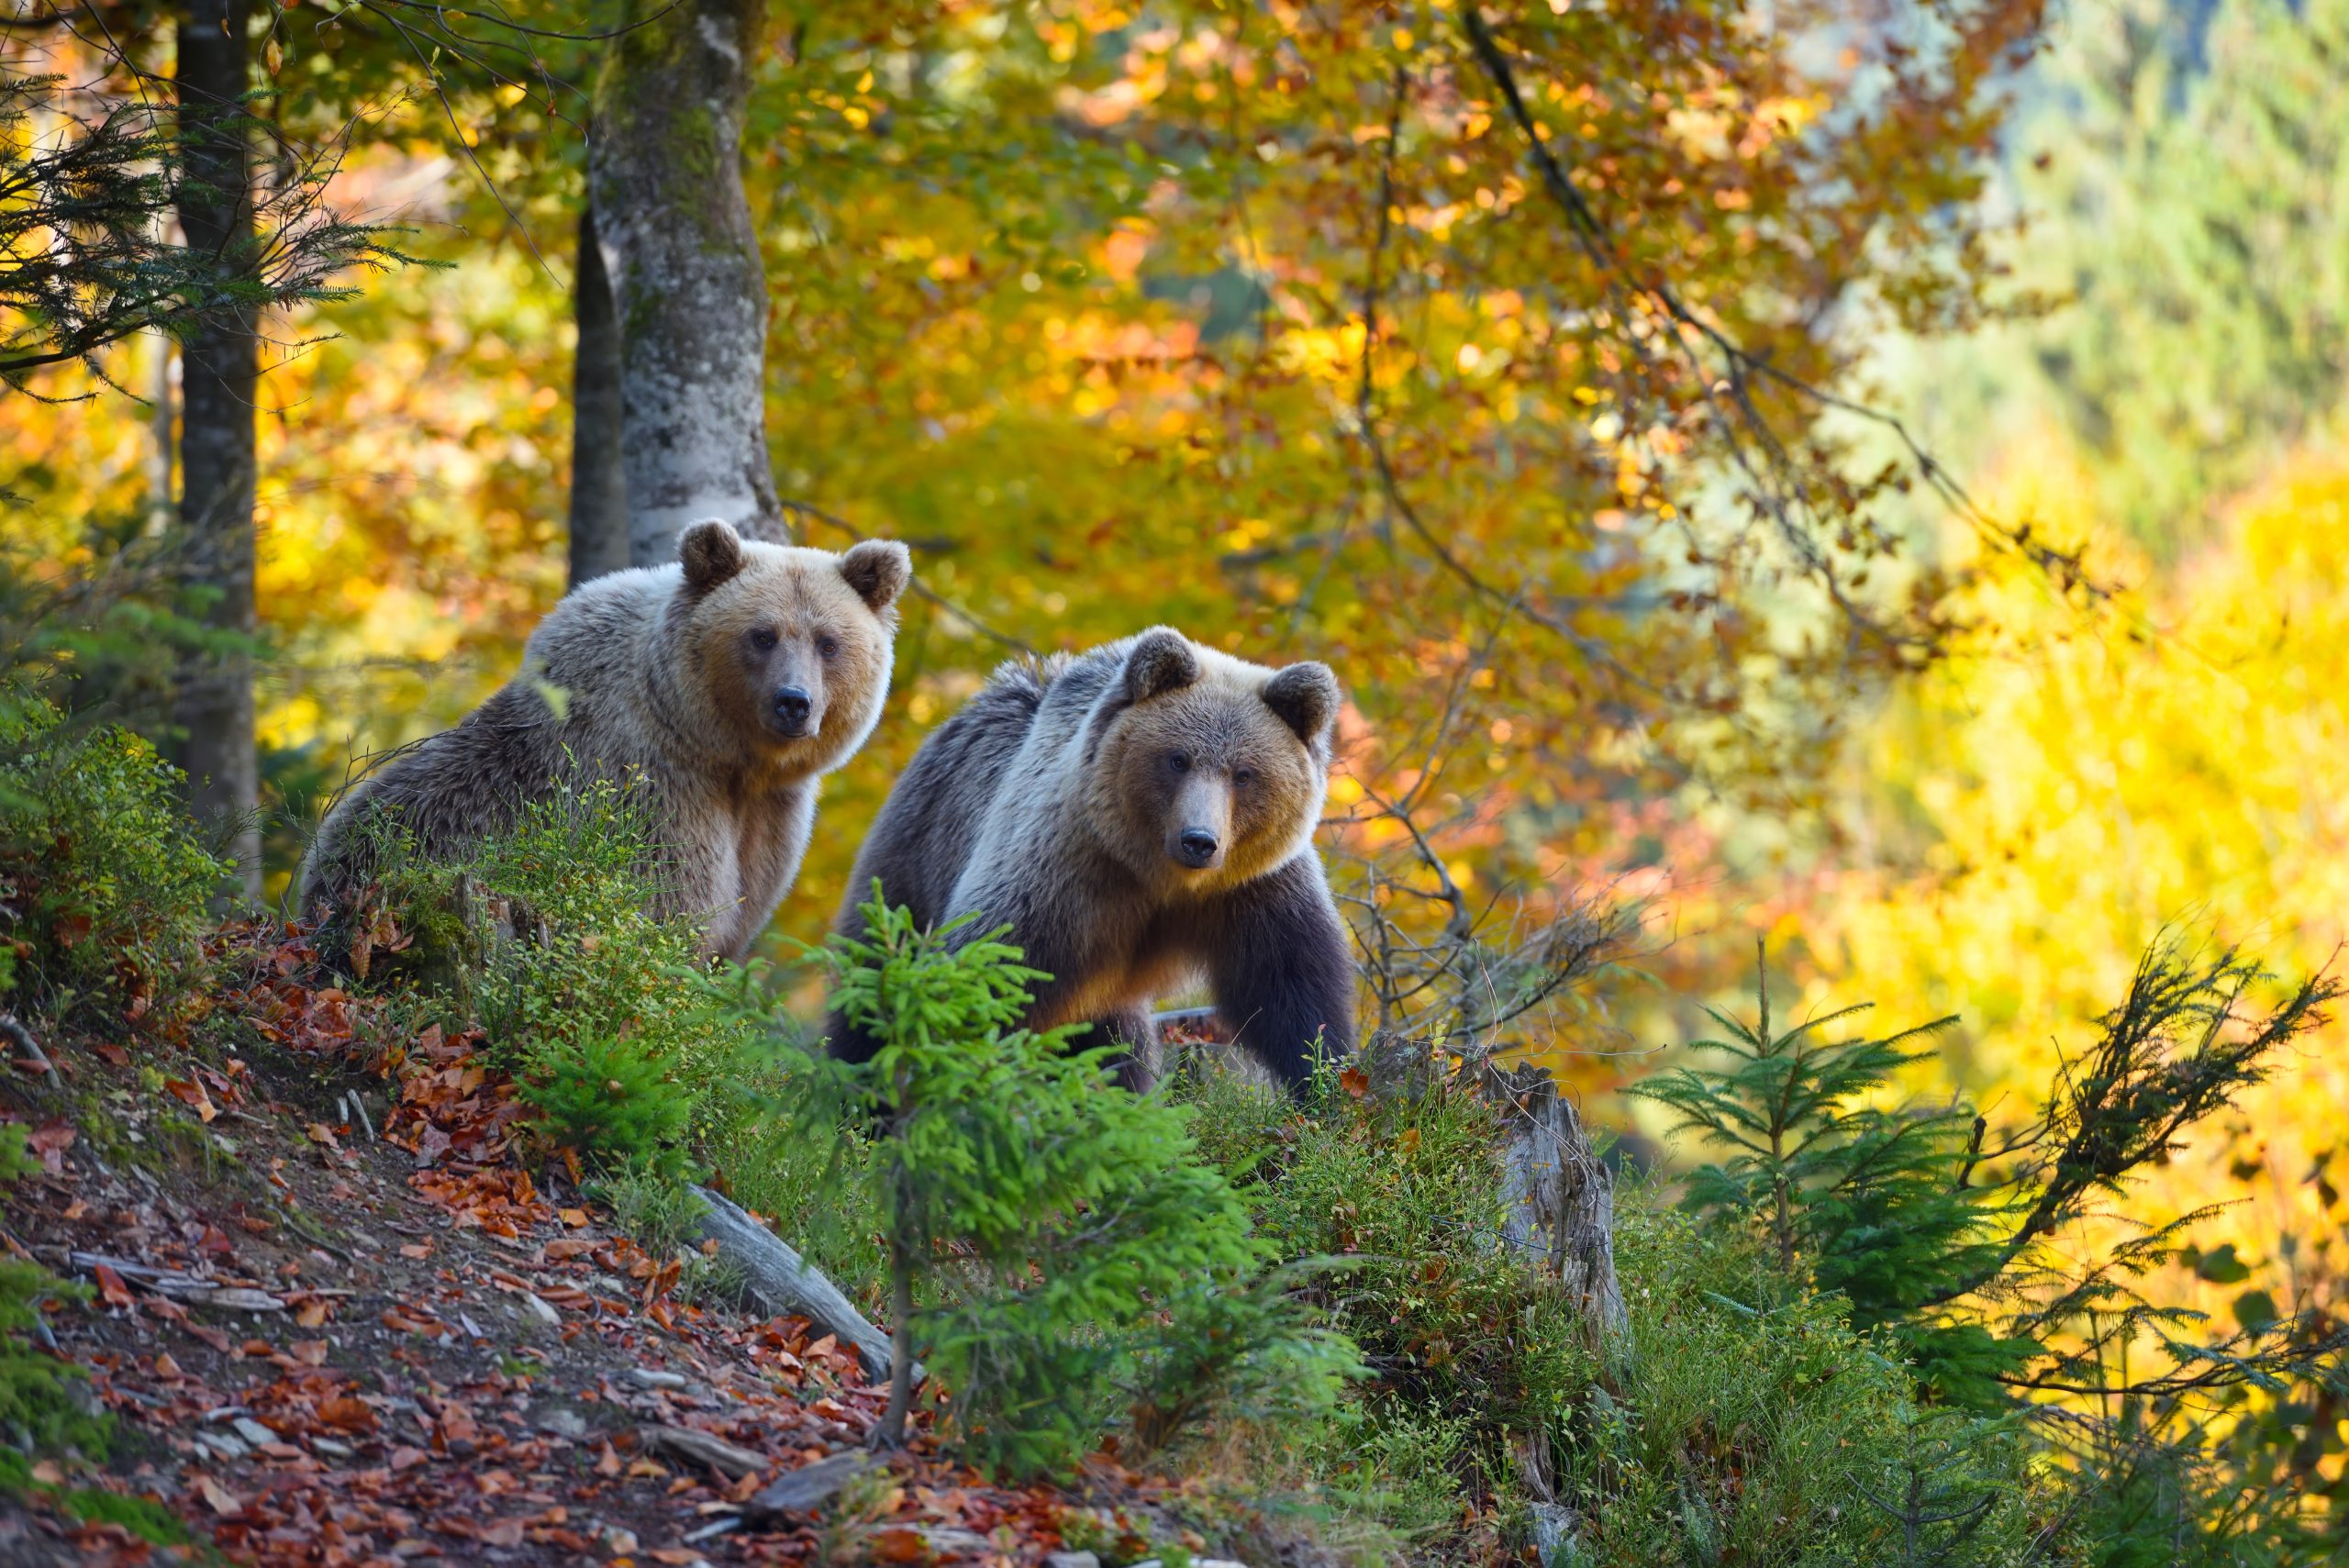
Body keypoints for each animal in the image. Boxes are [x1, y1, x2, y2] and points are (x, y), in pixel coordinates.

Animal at [300, 520, 911, 961]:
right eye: (762, 635)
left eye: (828, 642)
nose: (793, 701)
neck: (718, 751)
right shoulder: (647, 784)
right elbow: (670, 904)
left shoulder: (771, 815)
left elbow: (744, 905)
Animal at [828, 625, 1356, 1092]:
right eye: (1177, 759)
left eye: (1244, 773)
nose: (1199, 840)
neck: (1162, 878)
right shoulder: (1063, 871)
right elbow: (991, 975)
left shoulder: (1254, 888)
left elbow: (1293, 988)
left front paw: (1323, 1081)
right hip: (913, 861)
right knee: (871, 984)